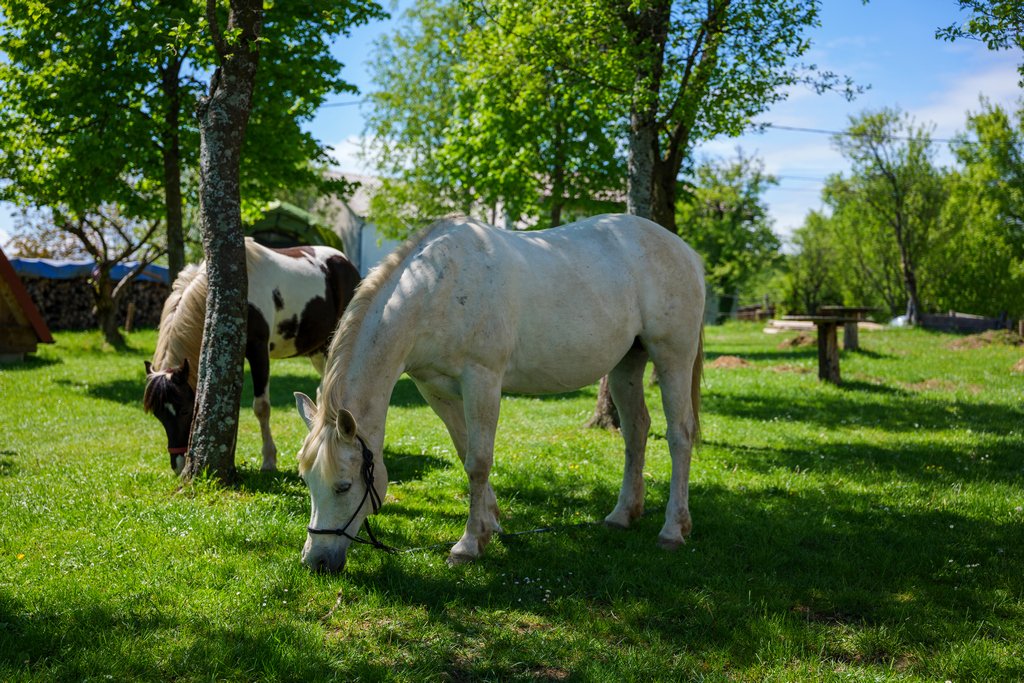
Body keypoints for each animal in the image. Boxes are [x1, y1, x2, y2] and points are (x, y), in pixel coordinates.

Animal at [144, 237, 360, 475]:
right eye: (158, 415)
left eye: (184, 410)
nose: (178, 464)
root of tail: (343, 260)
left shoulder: (258, 351)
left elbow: (261, 408)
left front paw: (269, 460)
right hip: (318, 351)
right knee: (322, 392)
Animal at [293, 213, 705, 573]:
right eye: (307, 481)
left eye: (344, 486)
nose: (316, 562)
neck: (438, 288)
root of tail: (685, 251)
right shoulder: (435, 389)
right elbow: (465, 453)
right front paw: (491, 525)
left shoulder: (482, 381)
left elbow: (478, 461)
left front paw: (468, 545)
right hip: (626, 365)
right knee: (636, 431)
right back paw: (622, 515)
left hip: (672, 356)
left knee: (679, 435)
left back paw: (673, 530)